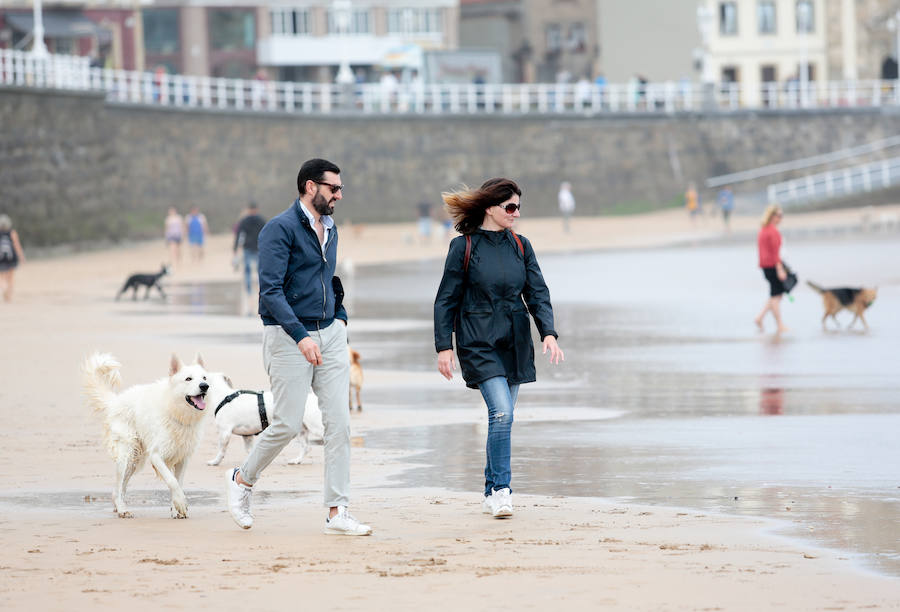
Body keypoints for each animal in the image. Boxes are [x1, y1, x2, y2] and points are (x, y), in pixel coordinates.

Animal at [81, 352, 212, 520]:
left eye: (204, 378)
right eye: (188, 379)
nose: (204, 386)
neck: (176, 412)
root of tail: (115, 401)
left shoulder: (183, 458)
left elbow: (178, 482)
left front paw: (176, 509)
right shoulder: (156, 455)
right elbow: (172, 481)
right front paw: (181, 504)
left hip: (134, 461)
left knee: (120, 488)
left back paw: (119, 506)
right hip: (127, 454)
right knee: (118, 485)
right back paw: (122, 509)